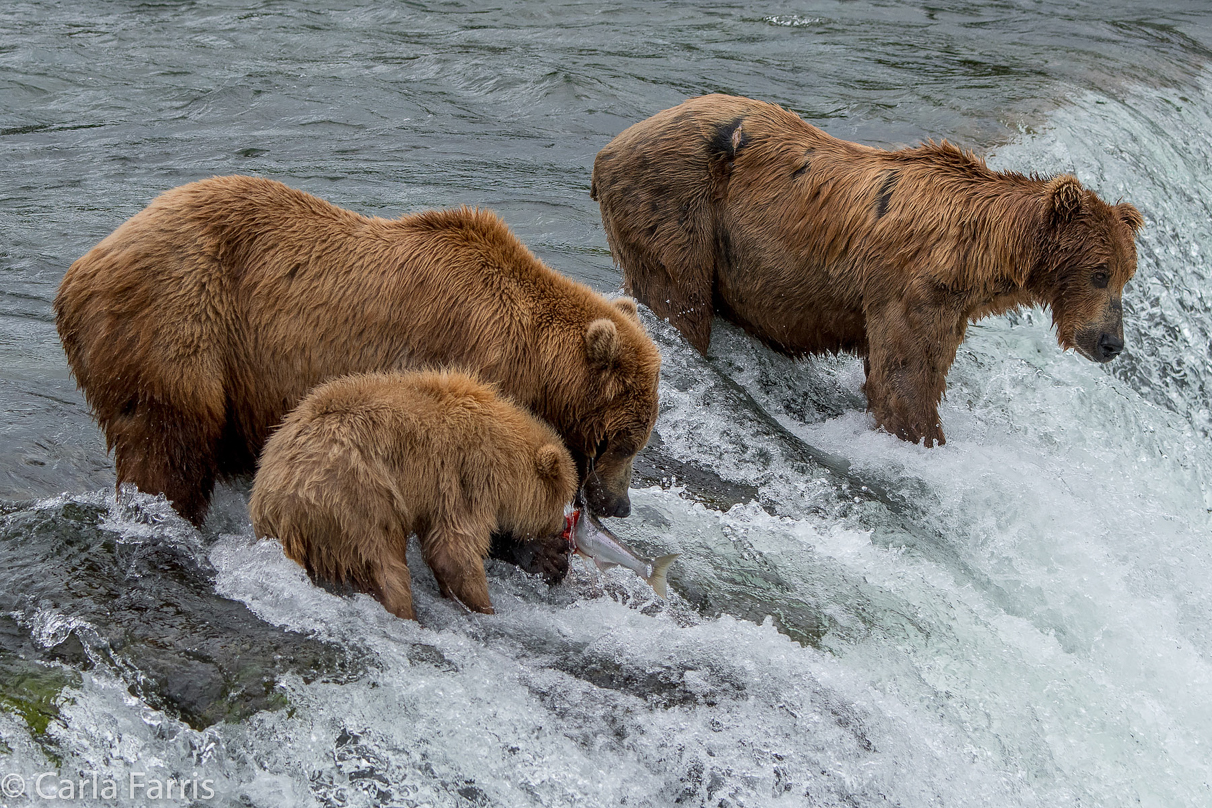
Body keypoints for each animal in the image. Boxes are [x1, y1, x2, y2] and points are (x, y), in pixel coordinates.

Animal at [246, 370, 576, 625]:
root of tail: (283, 508)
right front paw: (485, 607)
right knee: (385, 565)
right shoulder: (465, 474)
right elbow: (454, 550)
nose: (563, 528)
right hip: (355, 501)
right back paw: (406, 612)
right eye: (562, 500)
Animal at [591, 96, 1139, 448]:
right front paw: (924, 437)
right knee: (677, 299)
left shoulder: (950, 305)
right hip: (677, 203)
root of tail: (608, 148)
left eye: (1124, 275)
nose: (1111, 342)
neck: (974, 254)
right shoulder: (911, 288)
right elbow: (904, 380)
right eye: (1099, 272)